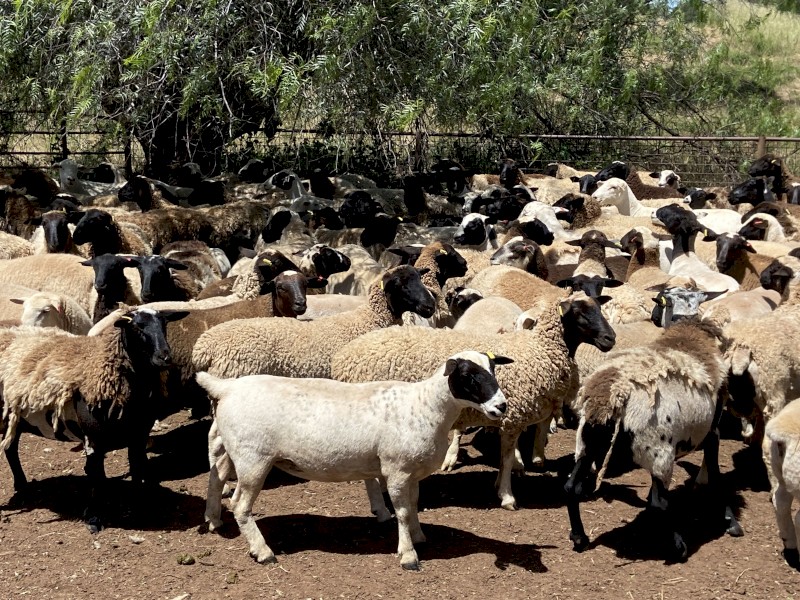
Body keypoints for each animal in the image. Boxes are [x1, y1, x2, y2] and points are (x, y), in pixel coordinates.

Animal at [0, 307, 187, 531]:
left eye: (164, 323)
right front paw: (94, 519)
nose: (164, 357)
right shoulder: (93, 439)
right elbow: (96, 478)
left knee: (10, 449)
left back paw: (22, 486)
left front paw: (139, 508)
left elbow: (137, 470)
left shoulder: (138, 435)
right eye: (136, 326)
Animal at [199, 350, 510, 570]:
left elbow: (413, 505)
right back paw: (263, 552)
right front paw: (408, 555)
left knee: (216, 478)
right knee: (240, 505)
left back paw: (214, 520)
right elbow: (403, 511)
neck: (426, 406)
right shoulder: (396, 469)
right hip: (253, 458)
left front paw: (418, 536)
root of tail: (226, 388)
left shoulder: (412, 472)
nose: (502, 406)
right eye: (470, 376)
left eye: (493, 370)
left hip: (230, 448)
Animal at [331, 292, 616, 509]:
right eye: (579, 313)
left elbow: (506, 457)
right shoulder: (512, 417)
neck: (539, 350)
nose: (610, 338)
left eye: (599, 308)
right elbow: (507, 458)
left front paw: (502, 483)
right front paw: (507, 495)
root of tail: (344, 357)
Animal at [565, 318, 743, 561]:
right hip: (659, 450)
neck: (690, 335)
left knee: (571, 487)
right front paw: (730, 521)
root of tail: (610, 396)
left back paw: (579, 537)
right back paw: (678, 546)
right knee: (662, 504)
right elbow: (715, 477)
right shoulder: (712, 432)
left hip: (587, 444)